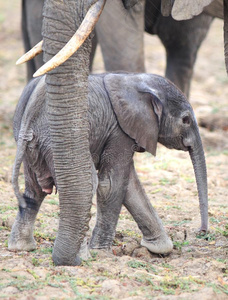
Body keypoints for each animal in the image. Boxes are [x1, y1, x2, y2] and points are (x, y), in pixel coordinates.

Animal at [8, 72, 208, 260]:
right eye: (186, 120)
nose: (201, 232)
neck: (134, 79)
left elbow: (129, 186)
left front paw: (159, 249)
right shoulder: (120, 130)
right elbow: (111, 184)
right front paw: (101, 252)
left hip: (32, 145)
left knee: (34, 190)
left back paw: (21, 247)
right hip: (57, 142)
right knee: (84, 184)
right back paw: (80, 255)